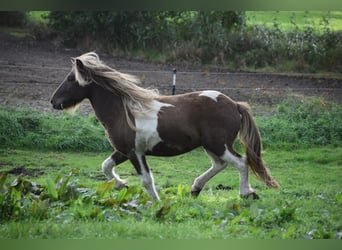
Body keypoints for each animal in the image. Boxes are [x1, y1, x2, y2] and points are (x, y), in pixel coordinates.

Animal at [50, 51, 280, 200]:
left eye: (71, 79)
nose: (53, 102)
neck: (124, 112)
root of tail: (235, 104)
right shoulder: (124, 150)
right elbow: (106, 165)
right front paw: (121, 184)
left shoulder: (135, 153)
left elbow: (146, 179)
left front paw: (155, 202)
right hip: (211, 146)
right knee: (220, 164)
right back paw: (195, 189)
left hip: (219, 145)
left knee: (240, 162)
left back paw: (247, 194)